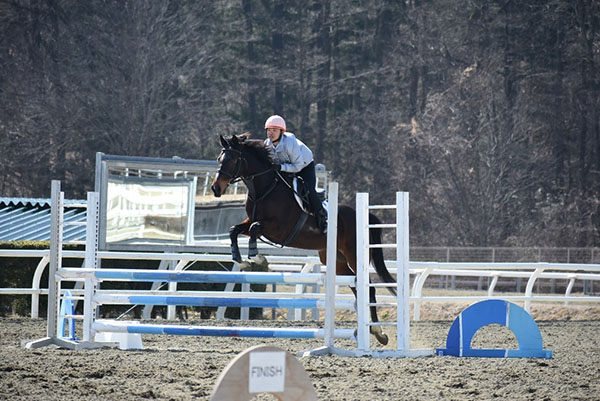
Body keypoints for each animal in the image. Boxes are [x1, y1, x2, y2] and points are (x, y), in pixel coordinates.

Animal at [211, 133, 396, 345]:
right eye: (219, 159)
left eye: (233, 160)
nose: (215, 188)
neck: (265, 189)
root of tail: (363, 215)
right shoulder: (253, 221)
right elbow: (235, 230)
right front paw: (240, 259)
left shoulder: (279, 229)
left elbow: (254, 228)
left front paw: (257, 257)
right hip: (336, 260)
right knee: (355, 285)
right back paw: (372, 330)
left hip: (354, 255)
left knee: (369, 288)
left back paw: (379, 332)